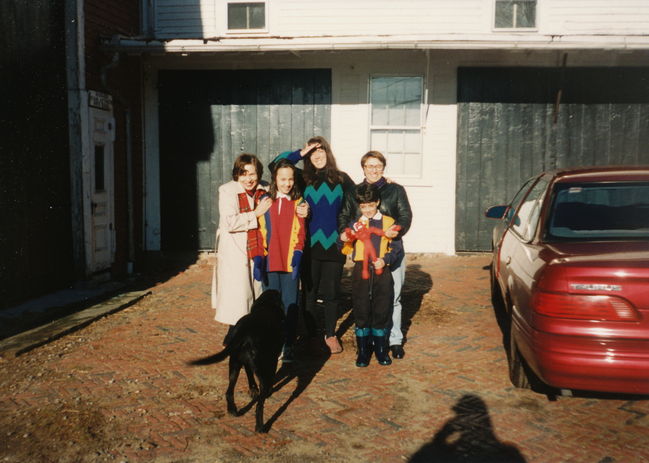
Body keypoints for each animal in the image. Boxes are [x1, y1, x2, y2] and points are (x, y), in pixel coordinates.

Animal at [190, 290, 286, 436]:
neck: (265, 307)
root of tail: (243, 332)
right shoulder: (272, 358)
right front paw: (266, 390)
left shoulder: (245, 362)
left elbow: (249, 375)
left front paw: (253, 390)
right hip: (259, 368)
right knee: (259, 405)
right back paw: (260, 427)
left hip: (234, 364)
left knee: (229, 392)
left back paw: (233, 410)